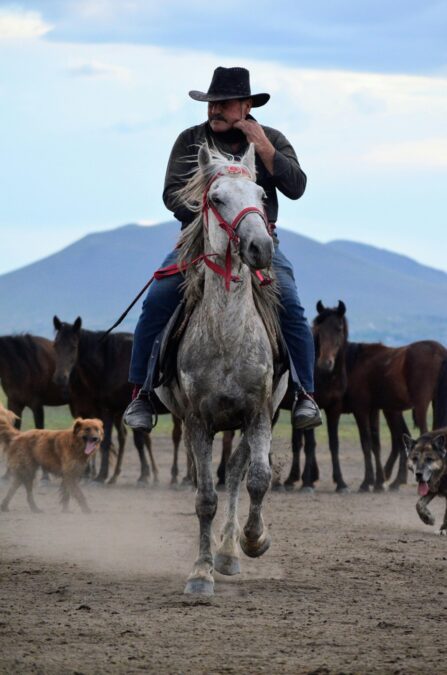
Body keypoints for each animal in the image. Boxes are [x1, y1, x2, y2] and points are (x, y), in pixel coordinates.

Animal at [53, 316, 184, 486]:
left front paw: (139, 475)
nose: (59, 378)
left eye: (73, 346)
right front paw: (104, 475)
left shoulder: (115, 410)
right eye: (55, 345)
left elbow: (128, 441)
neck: (109, 362)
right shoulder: (107, 409)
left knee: (177, 437)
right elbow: (108, 441)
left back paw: (178, 477)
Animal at [155, 140, 288, 596]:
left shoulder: (259, 412)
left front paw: (254, 540)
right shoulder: (197, 420)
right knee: (214, 480)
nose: (260, 248)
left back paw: (230, 552)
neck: (228, 336)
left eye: (262, 195)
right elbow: (204, 498)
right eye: (215, 199)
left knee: (236, 473)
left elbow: (259, 479)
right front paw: (200, 573)